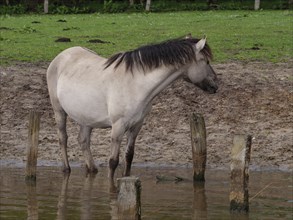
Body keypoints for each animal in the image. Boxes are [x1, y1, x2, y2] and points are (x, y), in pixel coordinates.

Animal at [46, 34, 217, 186]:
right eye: (206, 61)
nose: (216, 85)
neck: (135, 85)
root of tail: (61, 56)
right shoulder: (118, 127)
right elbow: (113, 161)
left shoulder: (136, 125)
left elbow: (129, 156)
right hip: (58, 111)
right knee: (63, 138)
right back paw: (66, 169)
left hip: (86, 117)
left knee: (83, 140)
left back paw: (92, 169)